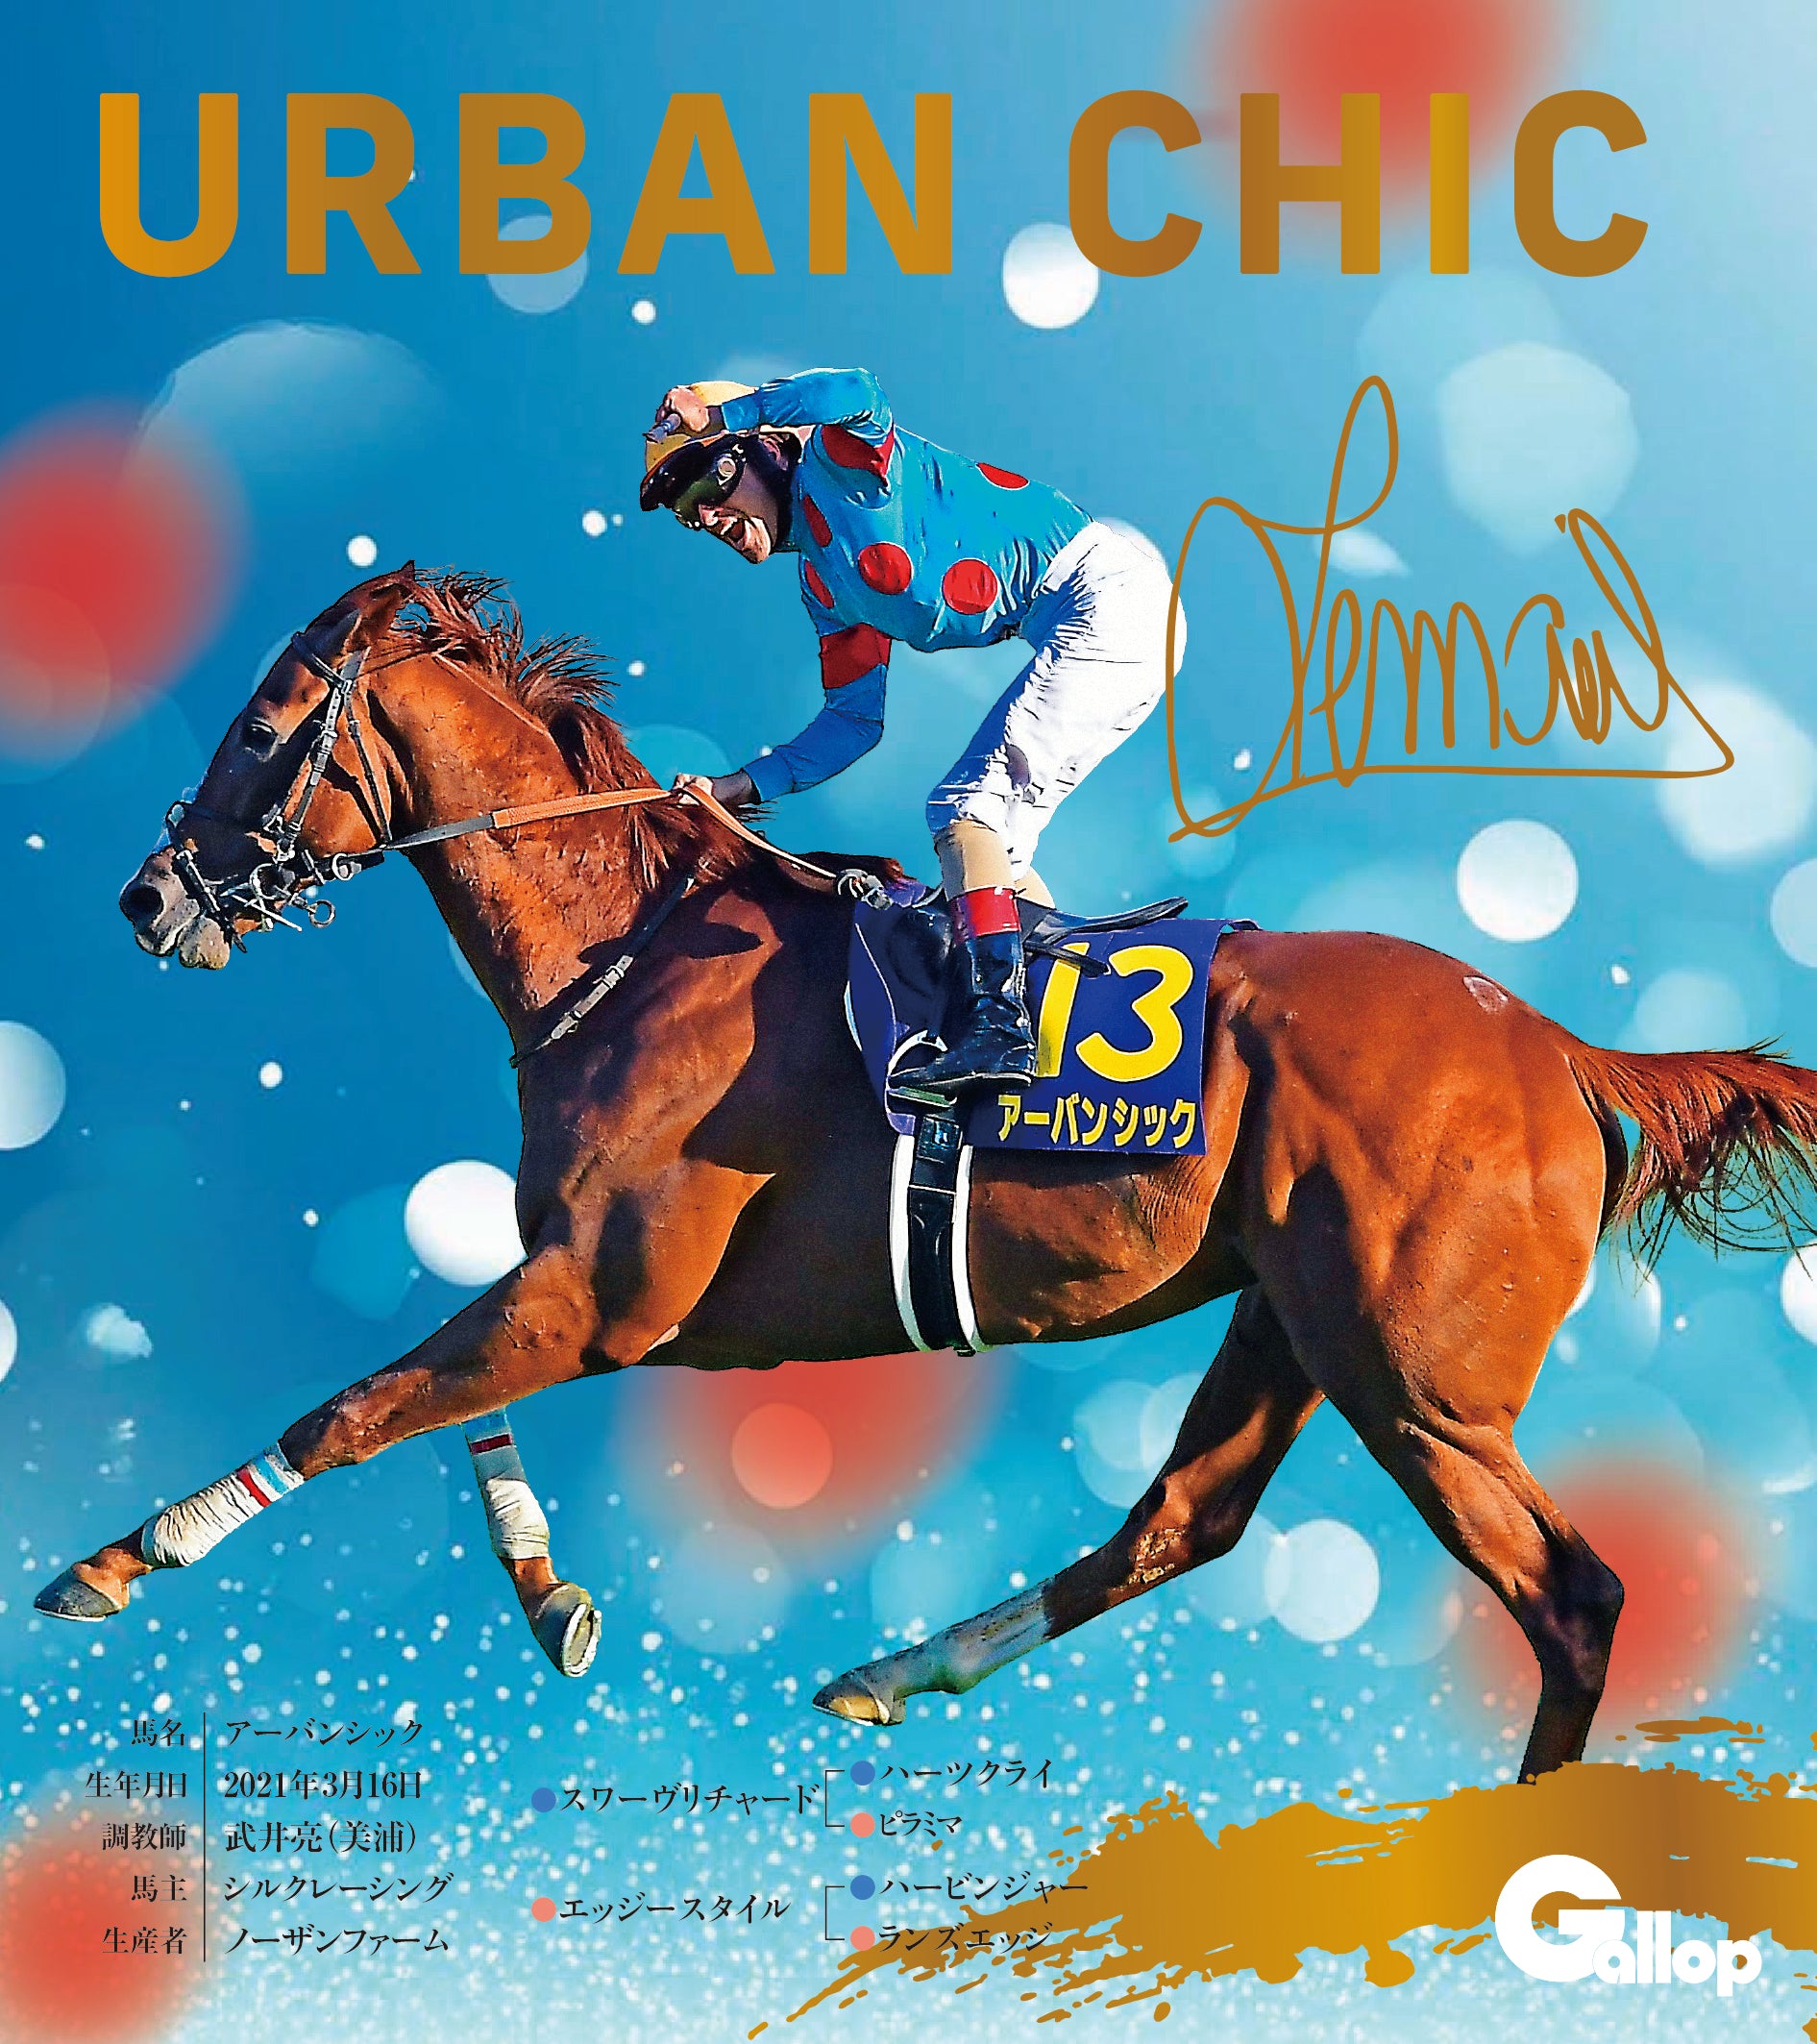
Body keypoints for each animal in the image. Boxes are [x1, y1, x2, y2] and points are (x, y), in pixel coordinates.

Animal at [35, 562, 1817, 1785]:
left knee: (1571, 1591)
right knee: (1179, 1521)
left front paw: (120, 1557)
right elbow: (424, 1399)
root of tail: (1558, 1042)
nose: (142, 896)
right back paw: (895, 1670)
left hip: (1417, 1372)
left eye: (263, 725)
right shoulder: (578, 1290)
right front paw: (552, 1598)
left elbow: (346, 1407)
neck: (629, 947)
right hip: (1292, 1318)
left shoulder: (605, 1294)